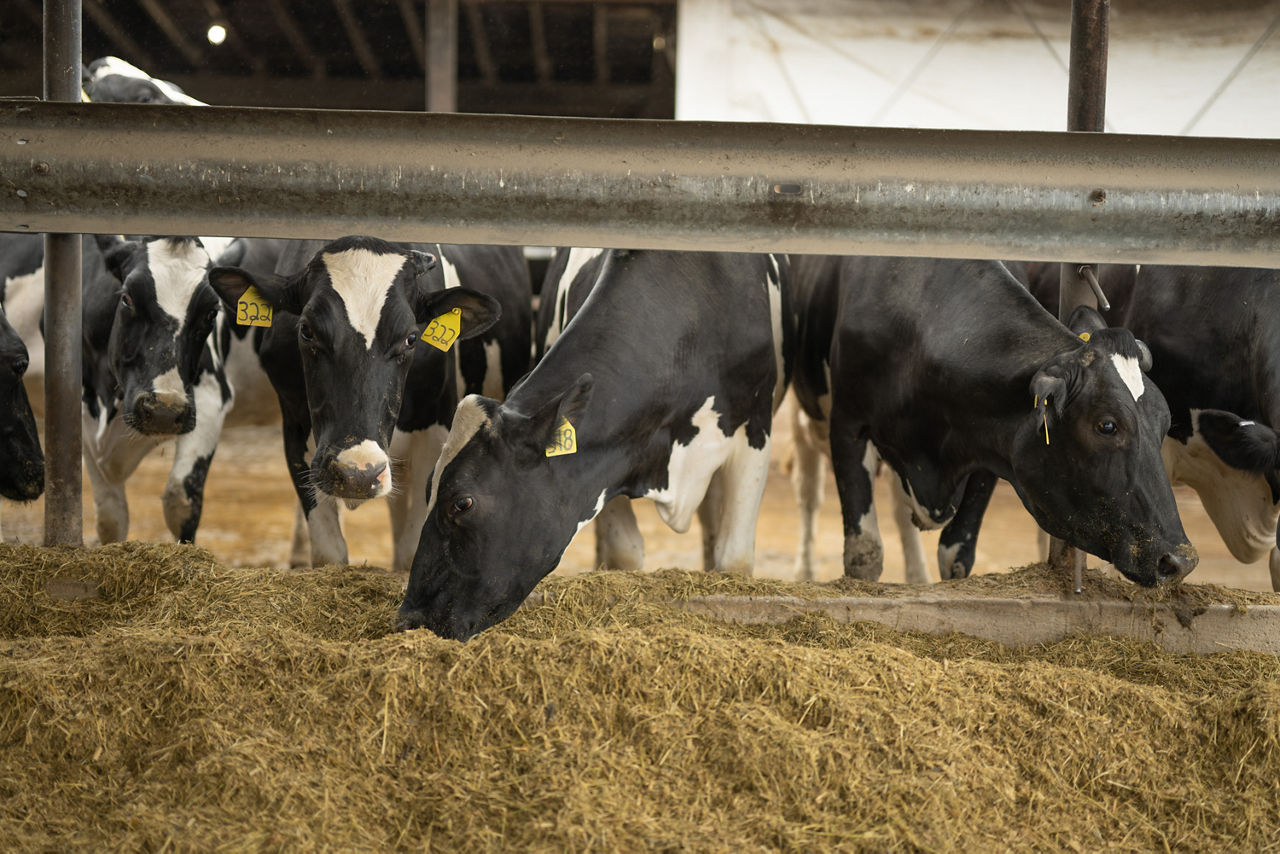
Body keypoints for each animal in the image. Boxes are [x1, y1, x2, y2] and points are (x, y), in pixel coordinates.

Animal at [394, 250, 793, 637]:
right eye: (428, 488)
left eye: (462, 503)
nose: (409, 617)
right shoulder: (606, 463)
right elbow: (624, 554)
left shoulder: (755, 436)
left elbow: (735, 558)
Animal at [788, 253, 1198, 588]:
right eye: (1107, 425)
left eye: (1164, 422)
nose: (1179, 560)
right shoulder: (848, 427)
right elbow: (864, 556)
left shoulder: (988, 448)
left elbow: (955, 555)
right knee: (808, 492)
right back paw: (805, 568)